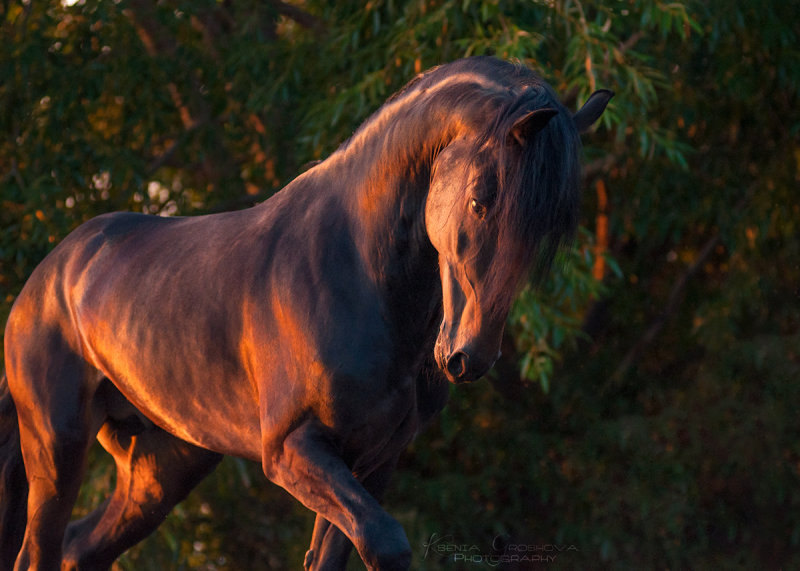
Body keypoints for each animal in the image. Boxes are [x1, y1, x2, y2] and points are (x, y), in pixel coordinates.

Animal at [1, 55, 612, 568]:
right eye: (482, 200)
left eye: (547, 230)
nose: (469, 358)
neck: (355, 272)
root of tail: (48, 276)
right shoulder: (293, 450)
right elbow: (386, 544)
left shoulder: (372, 461)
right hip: (56, 447)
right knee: (39, 551)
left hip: (160, 469)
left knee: (80, 549)